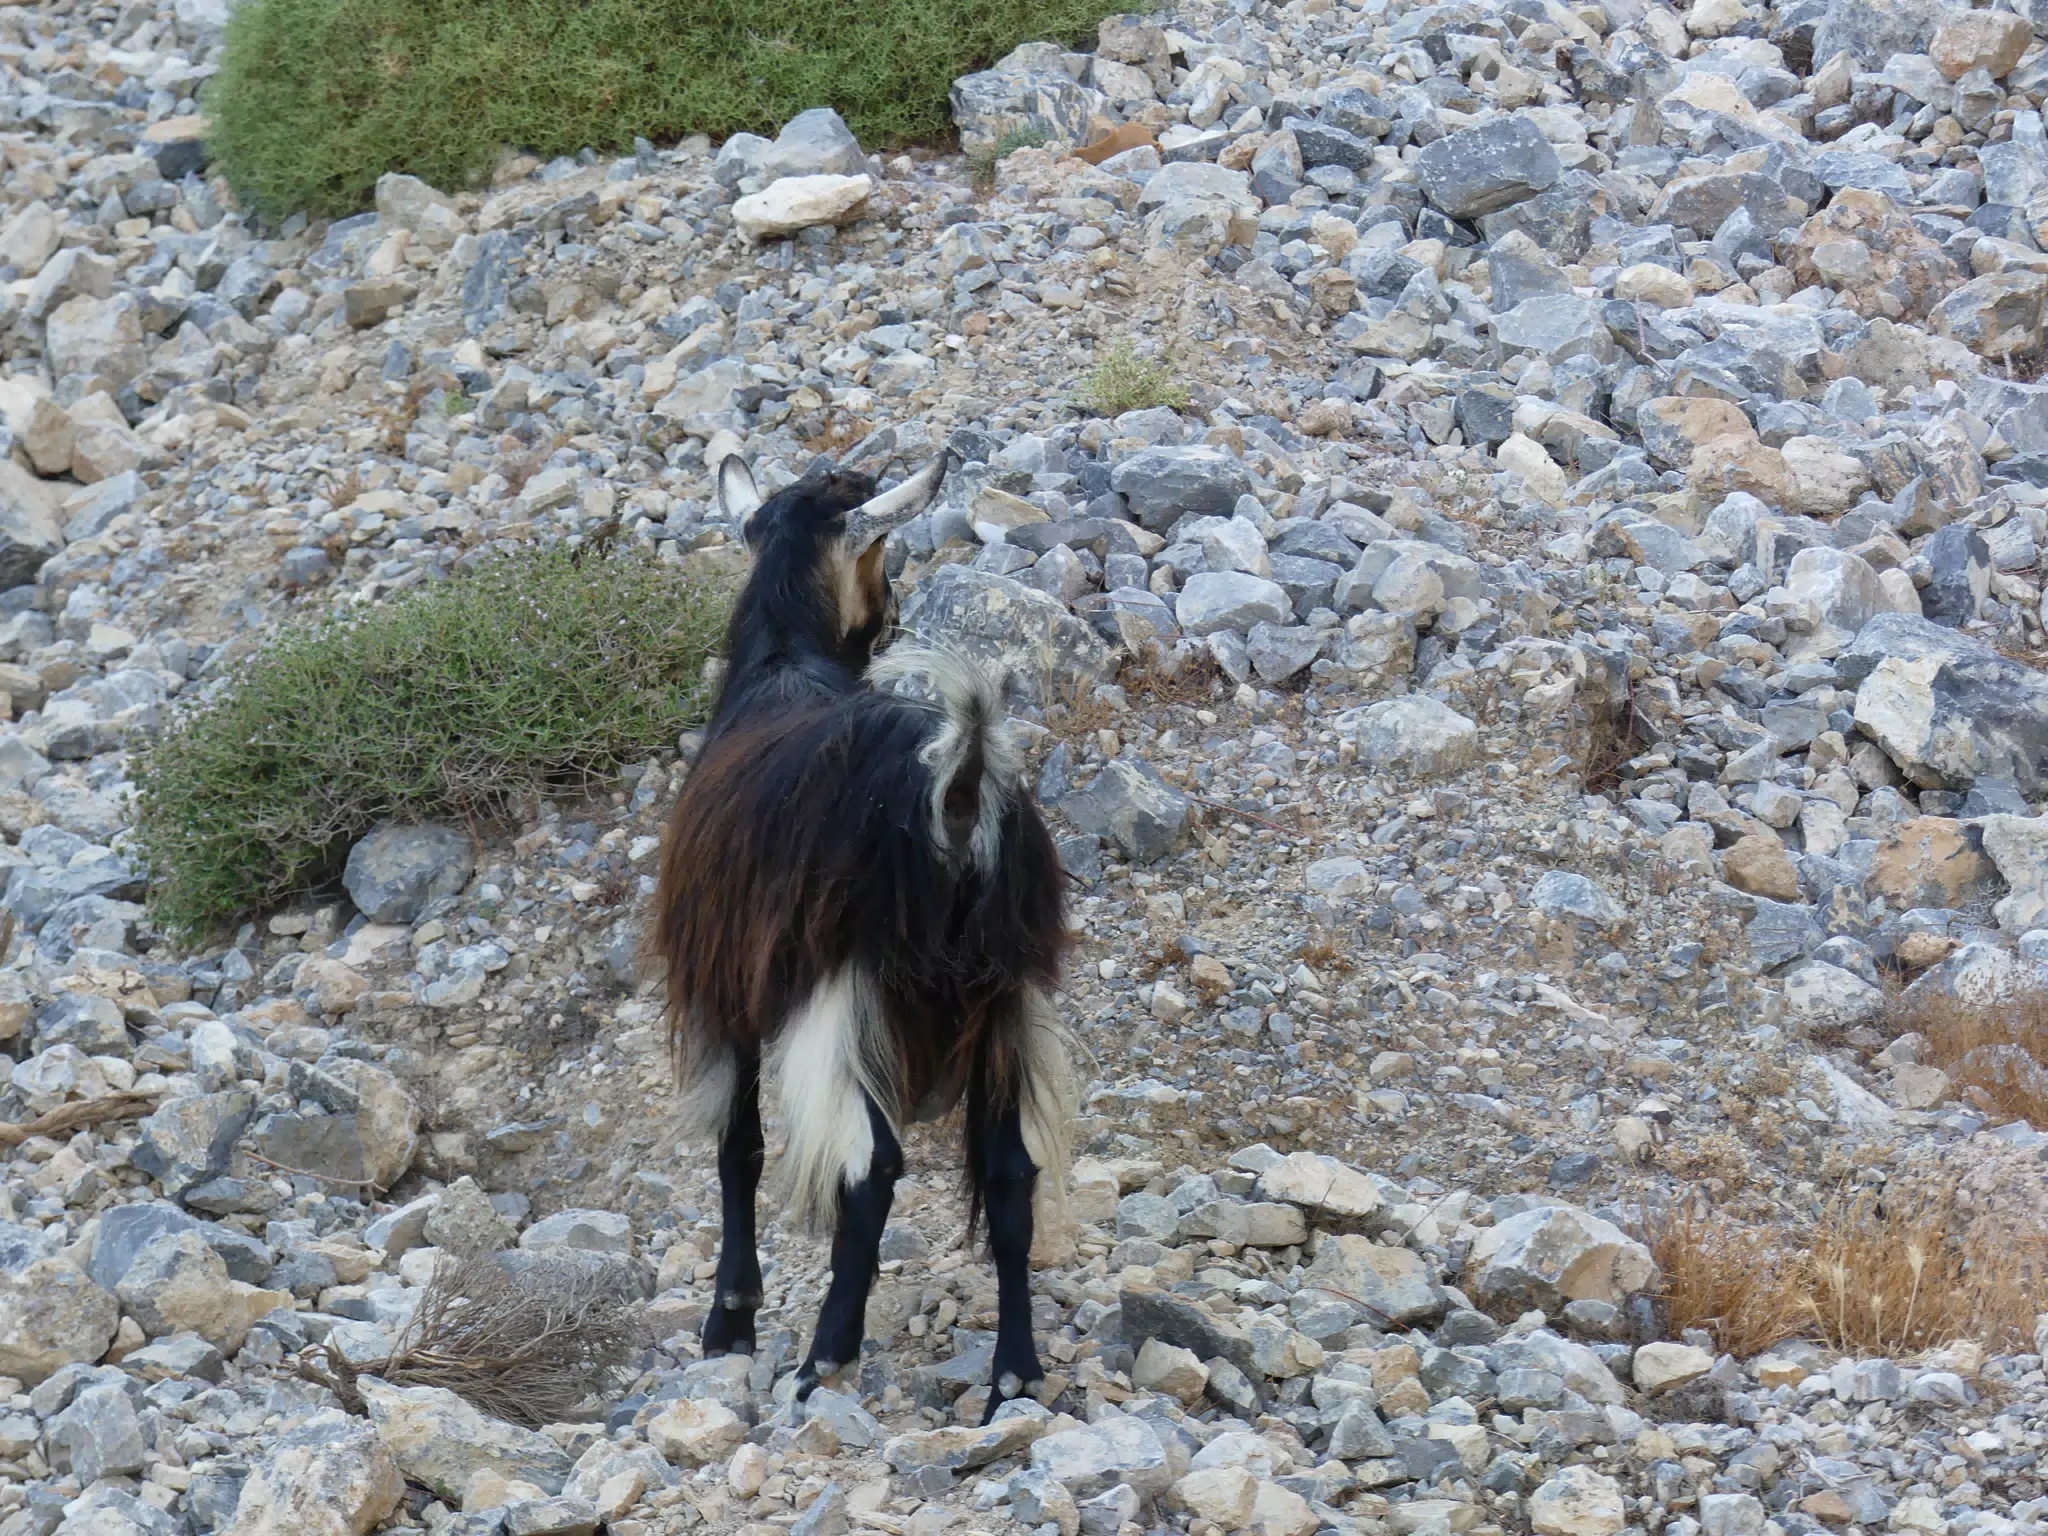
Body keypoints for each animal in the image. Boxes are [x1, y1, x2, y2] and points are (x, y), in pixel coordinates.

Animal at [653, 450, 1073, 1421]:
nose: (895, 615)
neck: (781, 665)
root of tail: (958, 791)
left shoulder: (730, 988)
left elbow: (739, 1145)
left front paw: (731, 1318)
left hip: (846, 985)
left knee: (871, 1165)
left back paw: (826, 1359)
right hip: (1006, 997)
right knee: (1012, 1175)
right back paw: (1014, 1377)